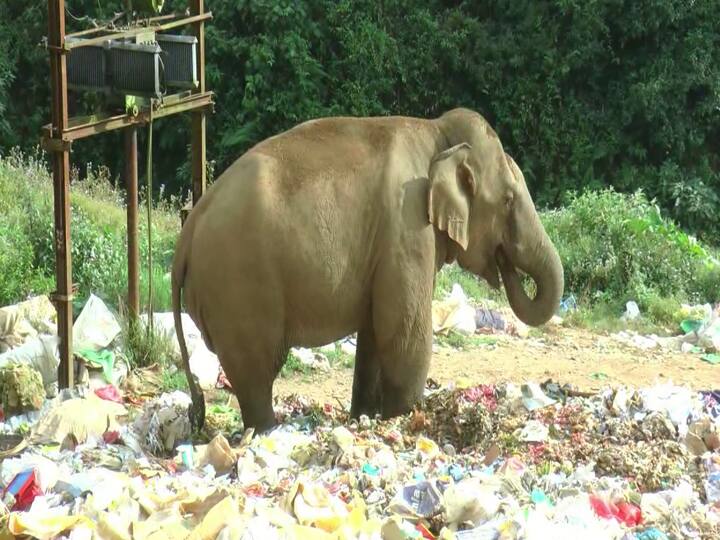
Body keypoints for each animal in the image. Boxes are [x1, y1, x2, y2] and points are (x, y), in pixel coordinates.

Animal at [172, 107, 564, 432]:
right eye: (509, 200)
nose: (504, 265)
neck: (437, 131)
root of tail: (189, 230)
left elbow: (375, 333)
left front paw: (365, 417)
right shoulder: (408, 228)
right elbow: (403, 329)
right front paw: (407, 417)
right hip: (238, 288)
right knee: (256, 370)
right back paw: (268, 431)